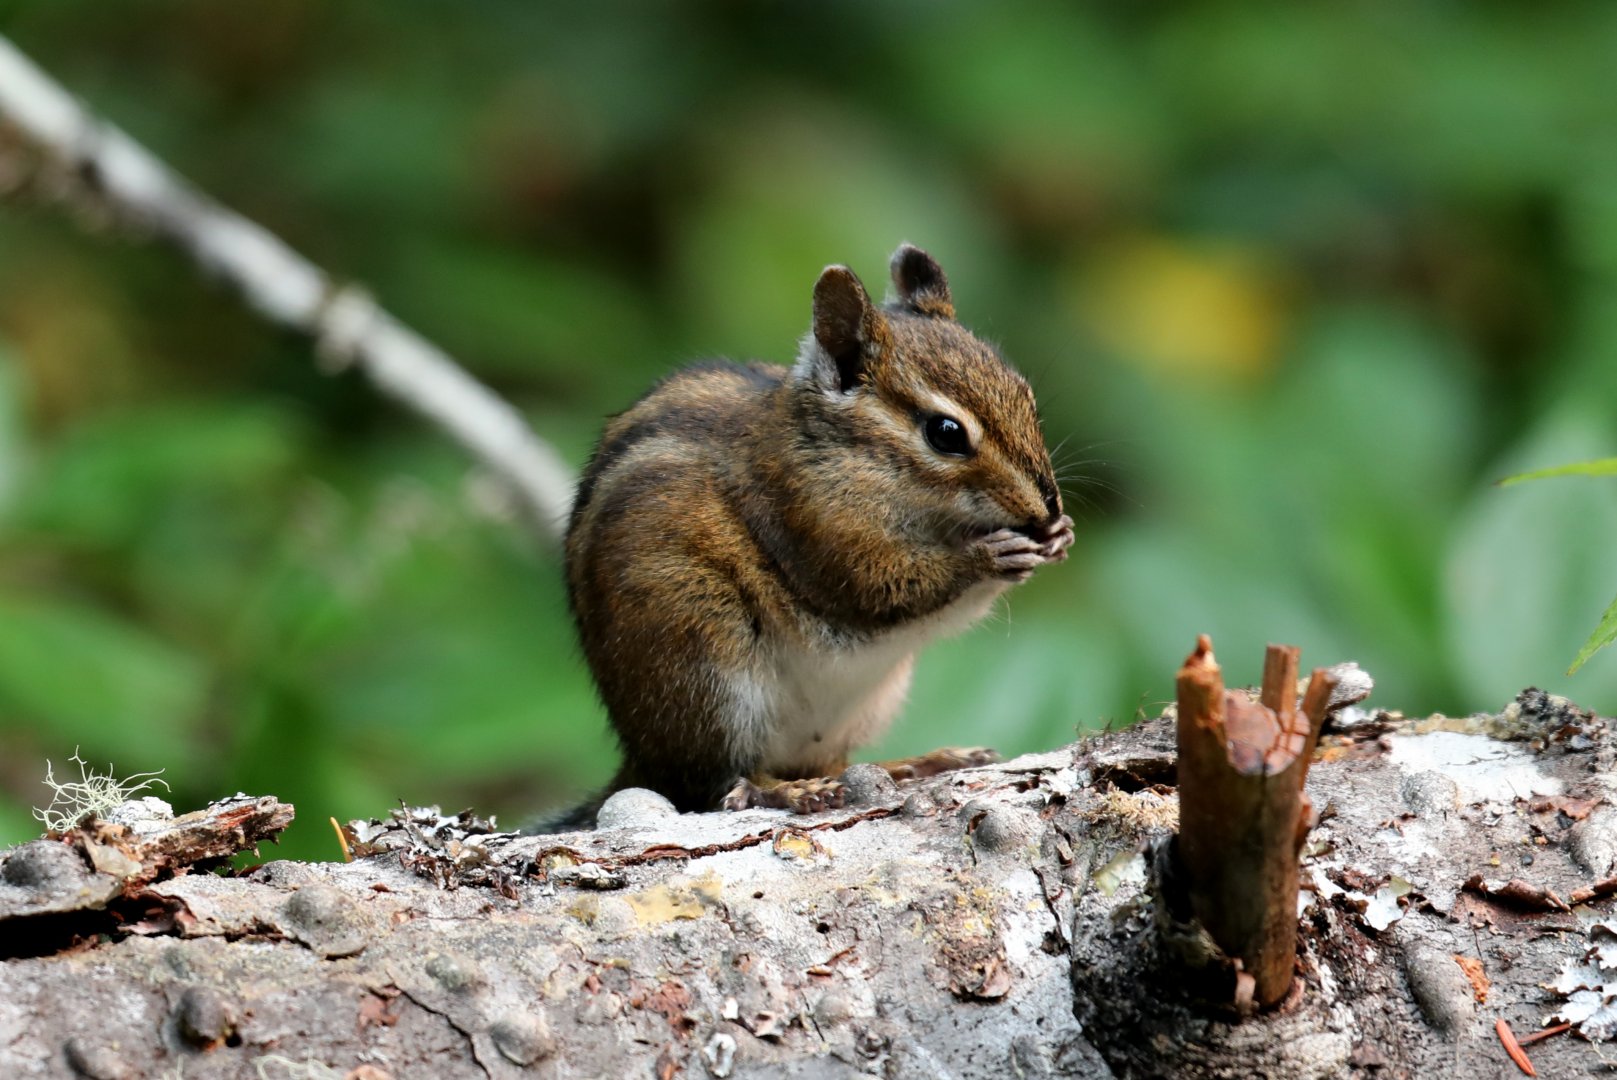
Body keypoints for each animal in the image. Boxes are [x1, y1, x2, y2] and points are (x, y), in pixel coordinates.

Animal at [547, 244, 1073, 828]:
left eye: (1028, 398)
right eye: (946, 433)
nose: (1046, 510)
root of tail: (642, 757)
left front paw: (1060, 536)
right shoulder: (811, 525)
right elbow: (879, 587)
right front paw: (988, 556)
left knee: (828, 760)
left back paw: (912, 762)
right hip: (705, 664)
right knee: (721, 781)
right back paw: (787, 791)